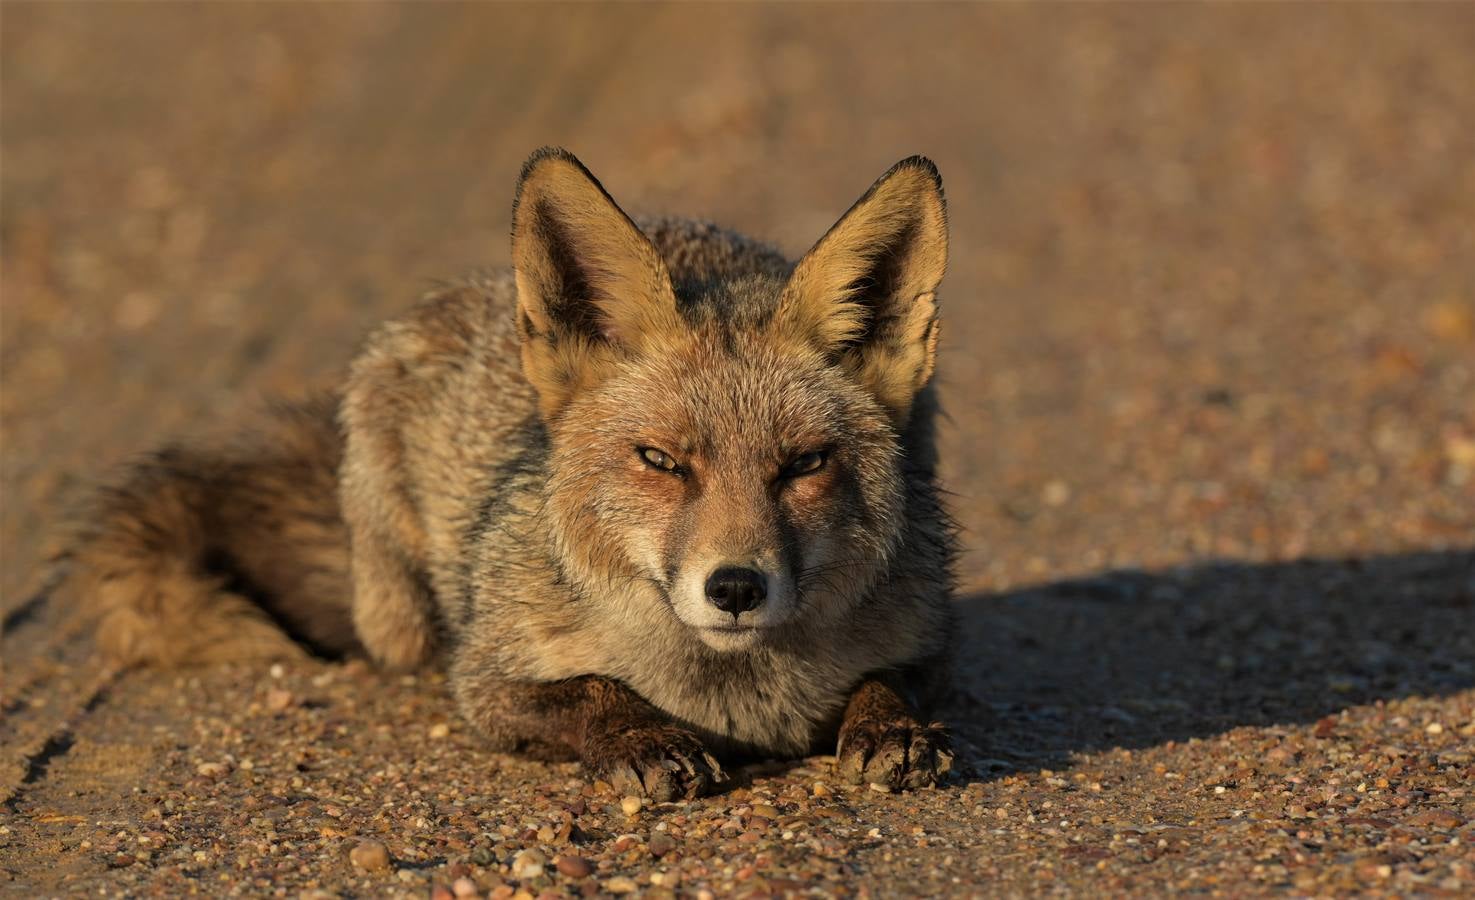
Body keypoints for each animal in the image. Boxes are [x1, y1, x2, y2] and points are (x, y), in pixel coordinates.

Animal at [60, 149, 955, 796]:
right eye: (661, 461)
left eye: (804, 464)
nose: (734, 587)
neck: (733, 695)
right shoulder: (486, 680)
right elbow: (592, 689)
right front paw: (642, 737)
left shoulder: (925, 636)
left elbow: (892, 683)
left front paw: (890, 729)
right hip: (397, 608)